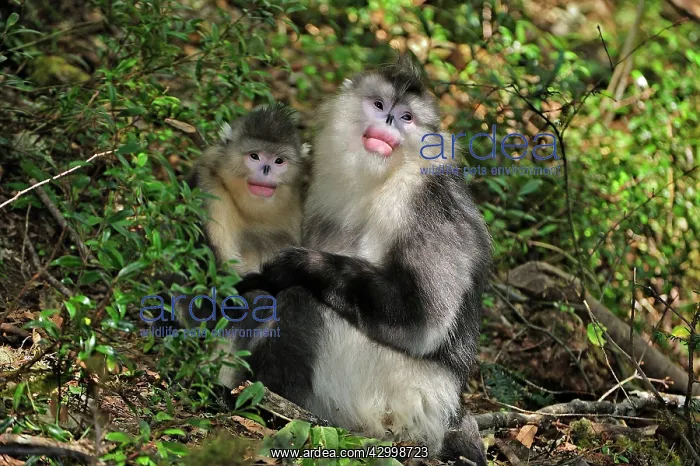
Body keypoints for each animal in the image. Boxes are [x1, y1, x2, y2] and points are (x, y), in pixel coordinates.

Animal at [230, 55, 492, 465]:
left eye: (406, 117)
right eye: (380, 105)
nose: (388, 121)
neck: (385, 176)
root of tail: (447, 417)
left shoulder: (427, 202)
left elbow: (422, 319)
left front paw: (295, 267)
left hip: (397, 398)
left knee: (299, 301)